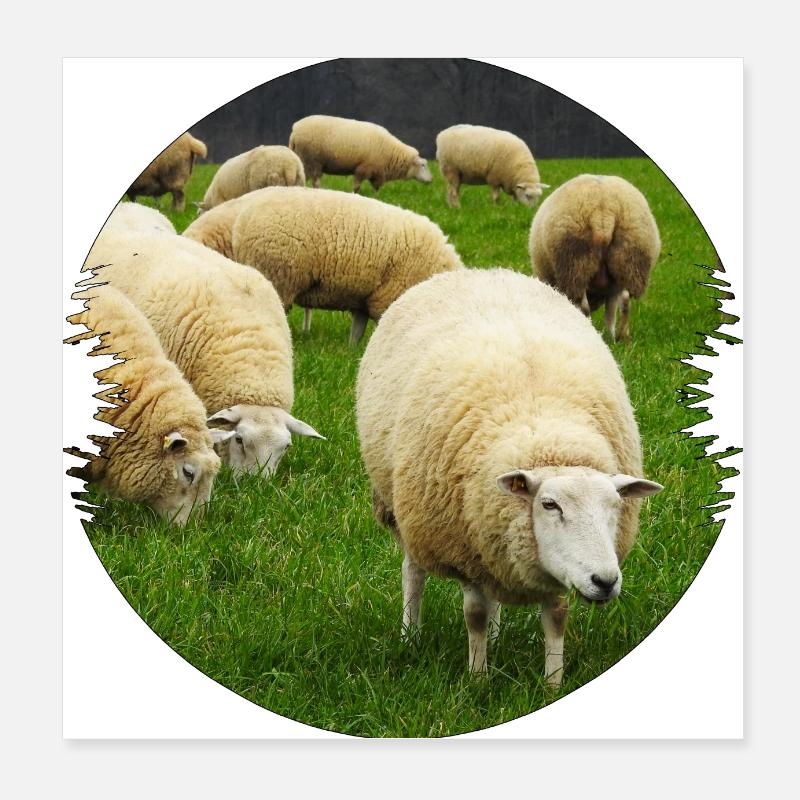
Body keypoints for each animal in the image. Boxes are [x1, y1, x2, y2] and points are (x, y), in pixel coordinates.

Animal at [289, 114, 432, 193]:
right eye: (423, 165)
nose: (431, 180)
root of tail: (294, 132)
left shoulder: (377, 171)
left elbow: (376, 188)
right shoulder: (363, 168)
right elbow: (357, 186)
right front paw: (354, 194)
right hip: (312, 161)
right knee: (315, 182)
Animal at [356, 268, 663, 682]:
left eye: (615, 506)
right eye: (549, 505)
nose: (605, 582)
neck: (544, 433)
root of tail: (479, 272)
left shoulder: (538, 560)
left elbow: (556, 616)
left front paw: (552, 683)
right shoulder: (463, 549)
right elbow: (475, 615)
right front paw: (478, 680)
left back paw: (498, 637)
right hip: (408, 511)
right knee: (414, 573)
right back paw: (411, 636)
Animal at [529, 174, 661, 341]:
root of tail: (603, 210)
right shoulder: (611, 288)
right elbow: (611, 311)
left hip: (576, 261)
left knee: (584, 306)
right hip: (629, 260)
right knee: (624, 300)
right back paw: (620, 337)